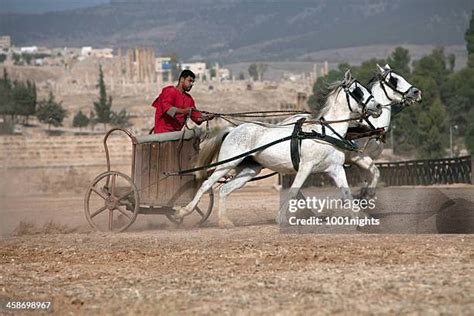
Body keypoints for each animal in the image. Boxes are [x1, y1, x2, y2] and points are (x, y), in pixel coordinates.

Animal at [174, 70, 382, 227]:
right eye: (358, 91)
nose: (379, 106)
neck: (323, 132)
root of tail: (233, 129)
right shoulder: (305, 167)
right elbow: (293, 191)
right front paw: (280, 217)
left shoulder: (335, 168)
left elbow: (347, 195)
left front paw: (361, 218)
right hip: (227, 164)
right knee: (206, 185)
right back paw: (183, 212)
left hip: (249, 169)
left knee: (224, 189)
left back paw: (224, 221)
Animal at [280, 63, 420, 199]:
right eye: (394, 79)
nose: (416, 92)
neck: (370, 126)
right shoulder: (359, 157)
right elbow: (375, 173)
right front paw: (367, 195)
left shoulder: (362, 162)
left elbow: (367, 180)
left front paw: (363, 197)